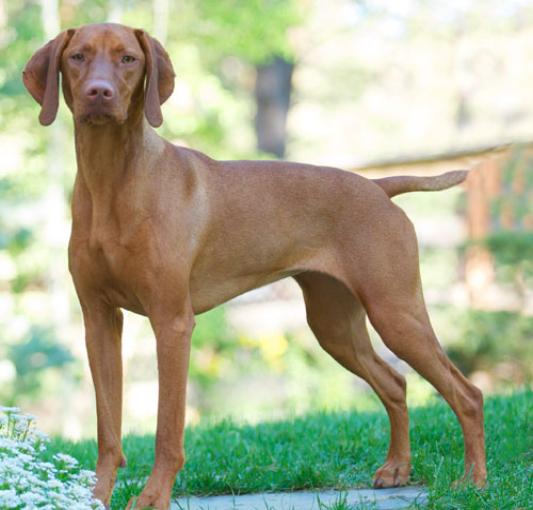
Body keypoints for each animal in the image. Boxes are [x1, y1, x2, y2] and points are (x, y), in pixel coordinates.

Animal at [23, 23, 486, 510]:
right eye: (77, 56)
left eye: (128, 58)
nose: (100, 92)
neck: (113, 179)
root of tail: (378, 187)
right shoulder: (99, 320)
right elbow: (108, 428)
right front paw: (95, 497)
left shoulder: (172, 322)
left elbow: (168, 428)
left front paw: (152, 497)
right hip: (335, 325)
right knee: (395, 383)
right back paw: (397, 468)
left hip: (395, 310)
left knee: (468, 393)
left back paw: (473, 481)